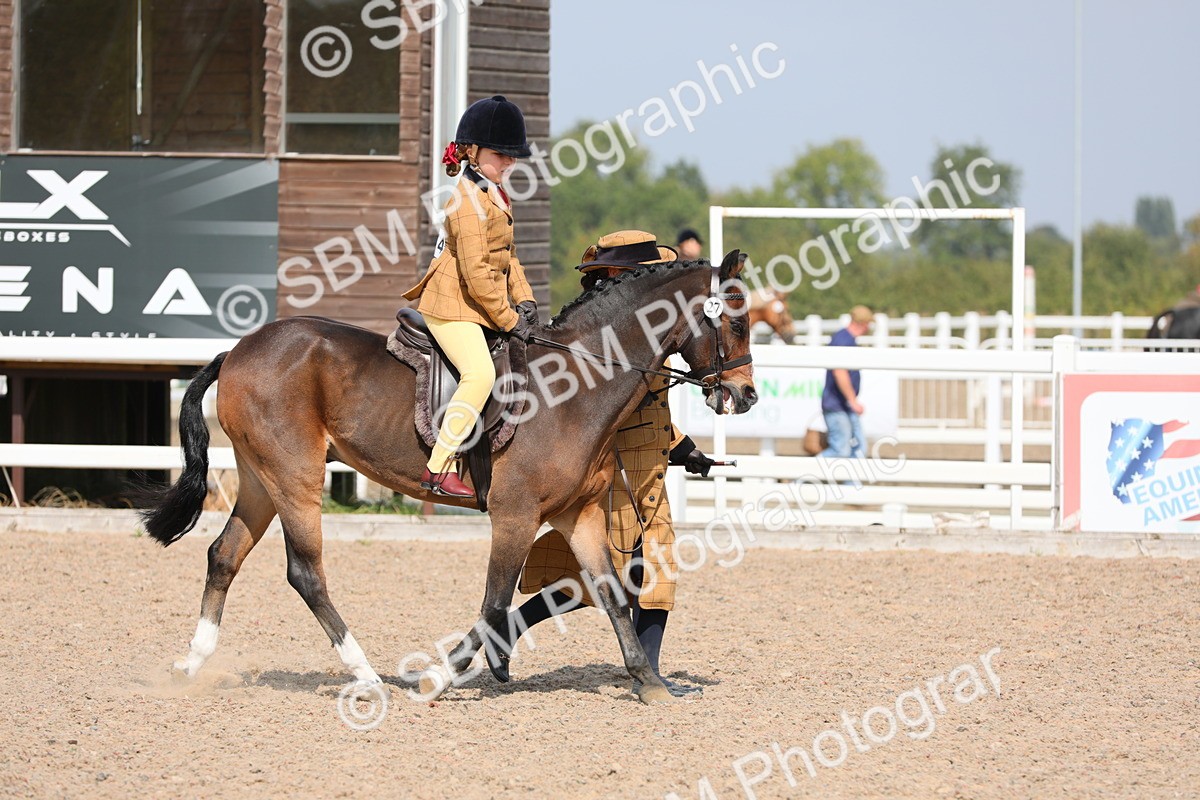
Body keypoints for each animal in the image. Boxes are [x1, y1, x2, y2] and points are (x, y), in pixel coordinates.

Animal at [138, 251, 757, 705]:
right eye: (736, 320)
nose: (746, 394)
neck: (579, 384)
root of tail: (238, 349)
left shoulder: (577, 514)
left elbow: (608, 593)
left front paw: (649, 683)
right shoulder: (515, 514)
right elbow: (493, 602)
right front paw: (438, 678)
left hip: (260, 479)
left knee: (223, 556)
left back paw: (190, 664)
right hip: (295, 479)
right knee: (305, 573)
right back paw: (366, 676)